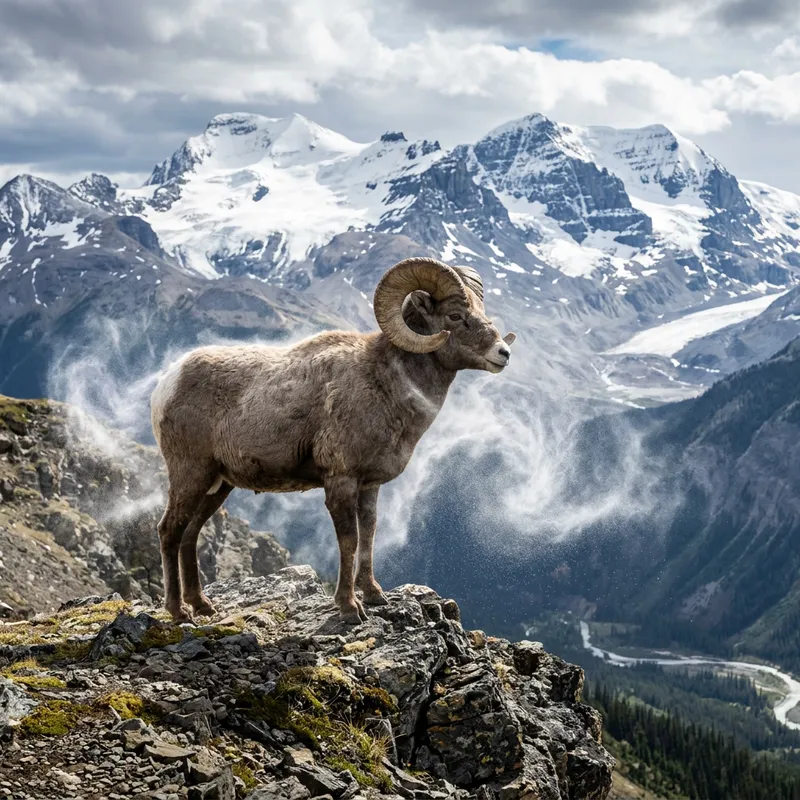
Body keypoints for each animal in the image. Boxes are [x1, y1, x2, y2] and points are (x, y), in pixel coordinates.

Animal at [150, 257, 516, 624]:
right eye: (454, 316)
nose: (504, 353)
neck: (384, 385)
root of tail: (166, 384)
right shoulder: (341, 480)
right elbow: (349, 540)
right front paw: (350, 608)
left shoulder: (370, 485)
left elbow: (368, 533)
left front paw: (374, 595)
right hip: (191, 474)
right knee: (169, 530)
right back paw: (179, 612)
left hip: (218, 484)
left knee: (190, 534)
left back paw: (202, 605)